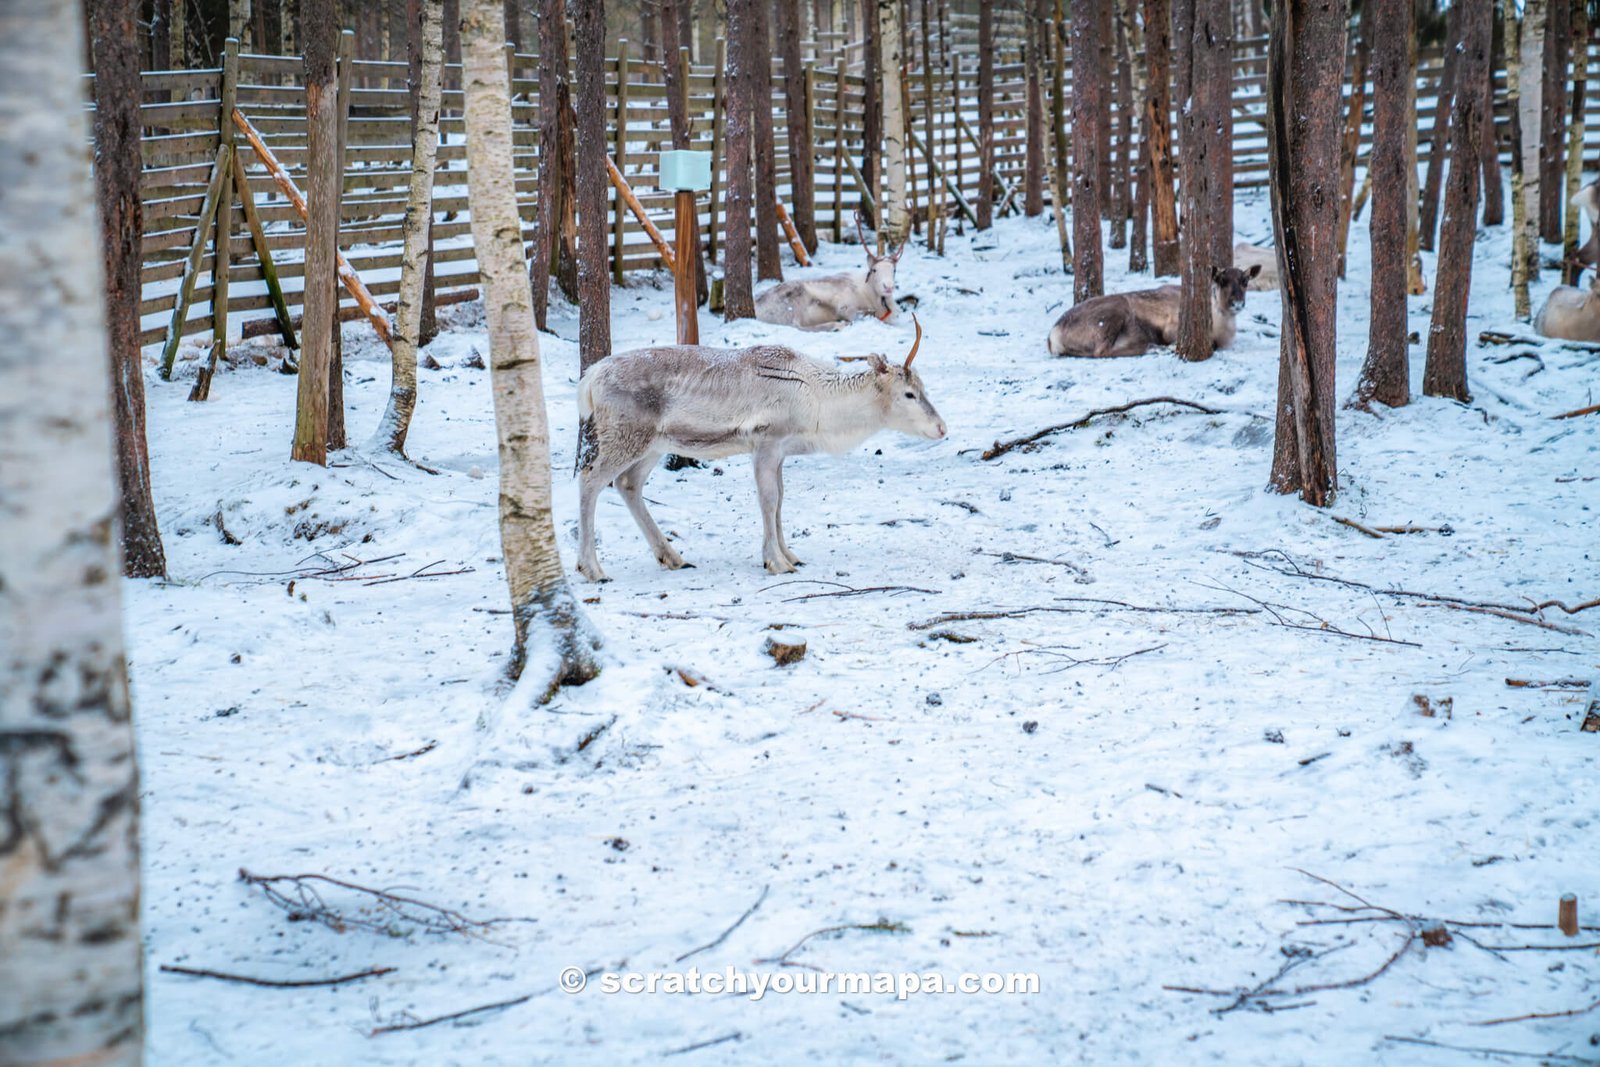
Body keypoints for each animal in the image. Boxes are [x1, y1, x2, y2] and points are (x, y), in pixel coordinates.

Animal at [574, 318, 945, 581]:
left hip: (653, 444)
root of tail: (590, 378)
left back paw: (673, 557)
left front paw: (790, 554)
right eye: (909, 394)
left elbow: (780, 500)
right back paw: (592, 568)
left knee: (628, 484)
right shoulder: (766, 442)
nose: (942, 427)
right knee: (590, 479)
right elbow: (768, 501)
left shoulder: (781, 451)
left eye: (924, 387)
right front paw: (776, 562)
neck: (819, 405)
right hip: (625, 435)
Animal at [754, 214, 906, 330]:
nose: (888, 287)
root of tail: (757, 307)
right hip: (793, 303)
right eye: (874, 270)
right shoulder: (845, 305)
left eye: (894, 270)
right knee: (798, 326)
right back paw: (837, 325)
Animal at [1046, 265, 1261, 358]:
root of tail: (1052, 335)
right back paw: (1152, 347)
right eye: (1221, 280)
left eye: (1245, 281)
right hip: (1114, 312)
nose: (1237, 303)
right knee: (1102, 351)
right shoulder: (1170, 327)